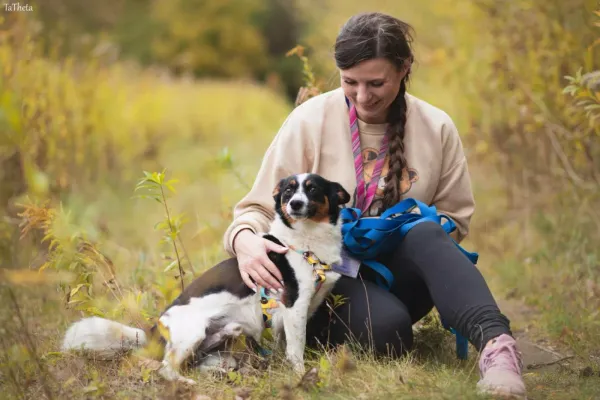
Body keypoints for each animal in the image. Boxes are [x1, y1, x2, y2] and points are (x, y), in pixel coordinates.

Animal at [59, 173, 352, 384]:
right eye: (289, 191)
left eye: (312, 189)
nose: (295, 204)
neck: (305, 242)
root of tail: (154, 330)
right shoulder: (294, 304)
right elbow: (295, 349)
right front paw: (301, 375)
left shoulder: (305, 305)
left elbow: (285, 343)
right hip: (192, 333)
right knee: (166, 368)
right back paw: (186, 384)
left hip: (220, 340)